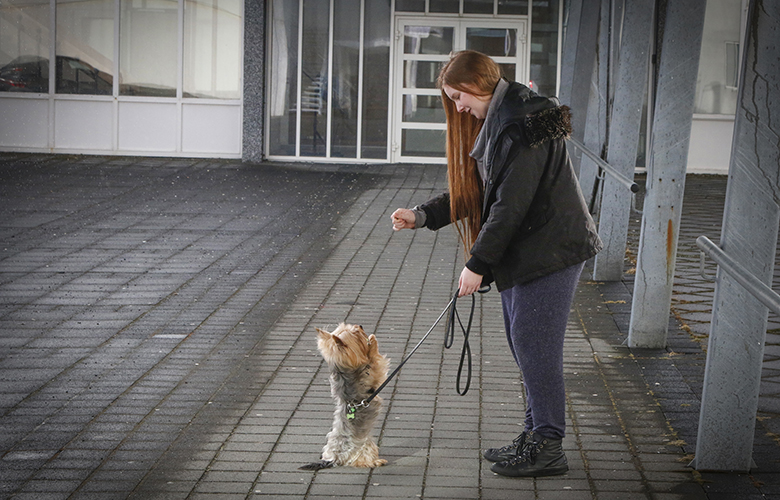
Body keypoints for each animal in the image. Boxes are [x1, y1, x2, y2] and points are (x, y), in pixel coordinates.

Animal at [302, 322, 394, 470]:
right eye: (355, 333)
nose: (360, 326)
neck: (344, 372)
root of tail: (333, 459)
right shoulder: (372, 371)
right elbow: (374, 358)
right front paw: (372, 341)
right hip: (365, 447)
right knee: (361, 460)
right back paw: (377, 461)